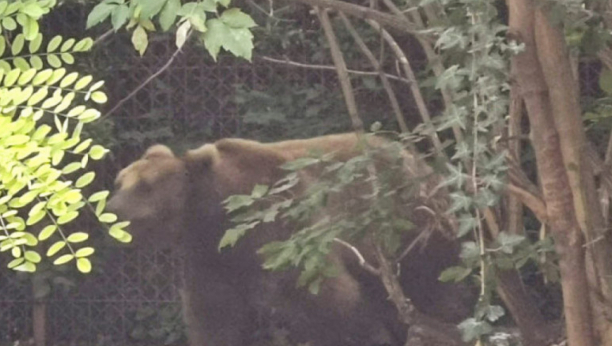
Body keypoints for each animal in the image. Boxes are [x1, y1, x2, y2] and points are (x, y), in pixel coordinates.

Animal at [107, 132, 474, 346]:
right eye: (120, 181)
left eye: (145, 187)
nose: (110, 209)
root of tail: (422, 162)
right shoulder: (211, 257)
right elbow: (213, 317)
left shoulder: (287, 232)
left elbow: (333, 302)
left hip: (414, 228)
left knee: (435, 285)